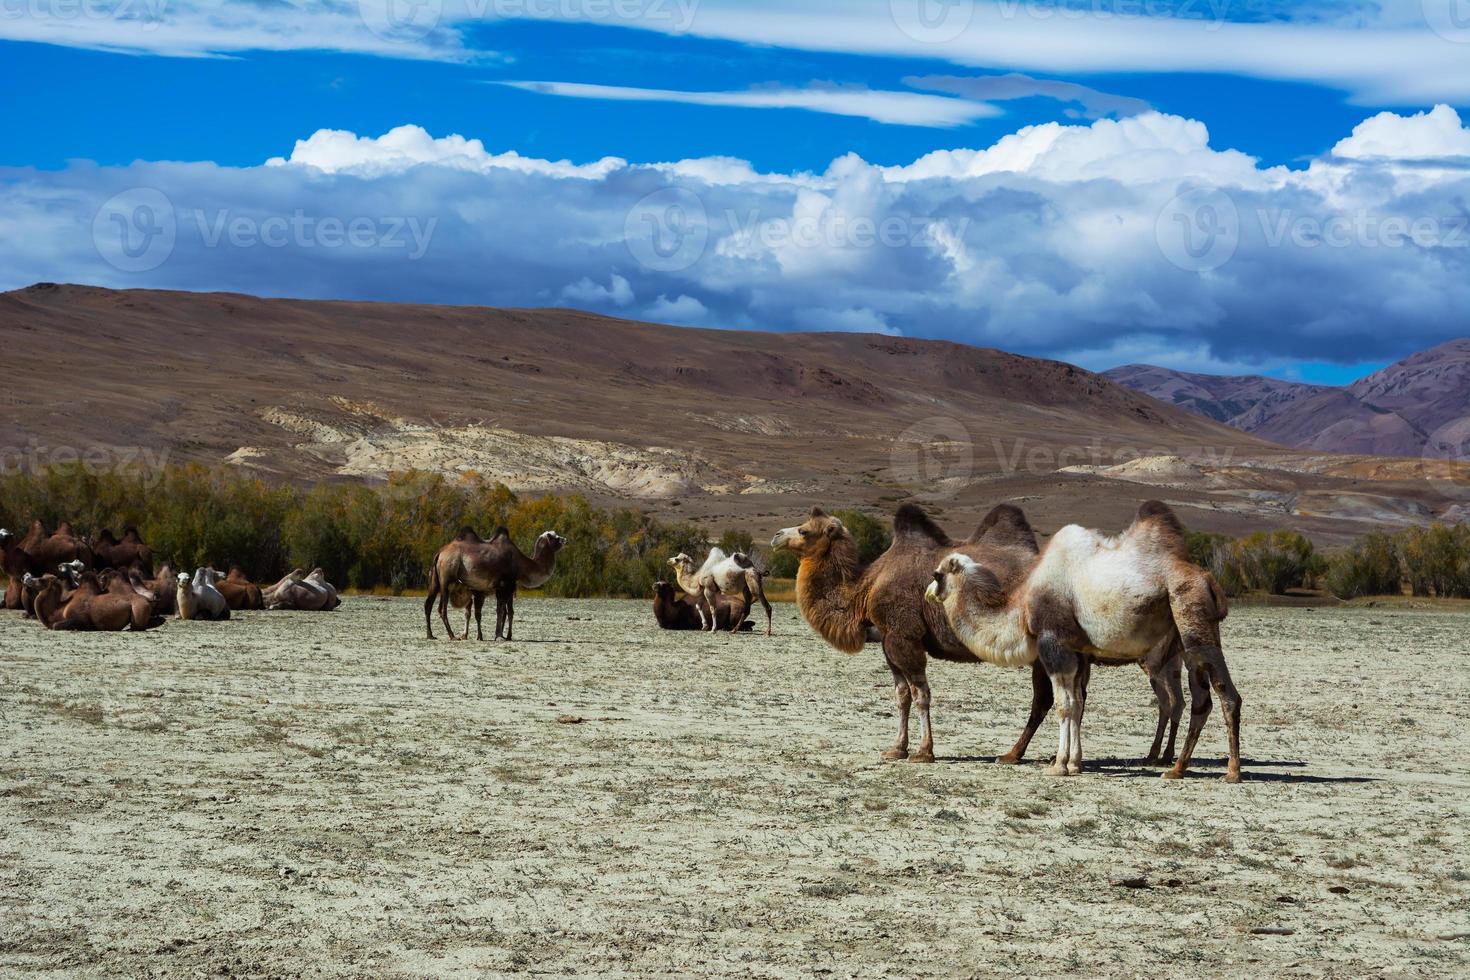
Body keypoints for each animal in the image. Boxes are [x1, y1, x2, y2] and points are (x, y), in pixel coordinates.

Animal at [429, 528, 564, 643]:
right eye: (555, 537)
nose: (564, 539)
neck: (520, 565)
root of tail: (440, 553)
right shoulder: (504, 586)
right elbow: (501, 611)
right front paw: (499, 636)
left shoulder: (506, 588)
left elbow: (504, 611)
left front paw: (501, 635)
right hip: (446, 577)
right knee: (442, 609)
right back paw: (452, 636)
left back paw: (433, 635)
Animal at [929, 502, 1240, 787]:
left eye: (937, 575)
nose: (927, 593)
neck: (1023, 606)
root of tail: (1208, 579)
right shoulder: (1077, 651)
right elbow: (1077, 703)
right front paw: (1074, 763)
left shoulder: (1053, 643)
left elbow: (1063, 705)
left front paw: (1059, 766)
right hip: (1190, 629)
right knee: (1202, 697)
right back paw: (1178, 768)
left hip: (1190, 613)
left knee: (1218, 695)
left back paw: (1226, 772)